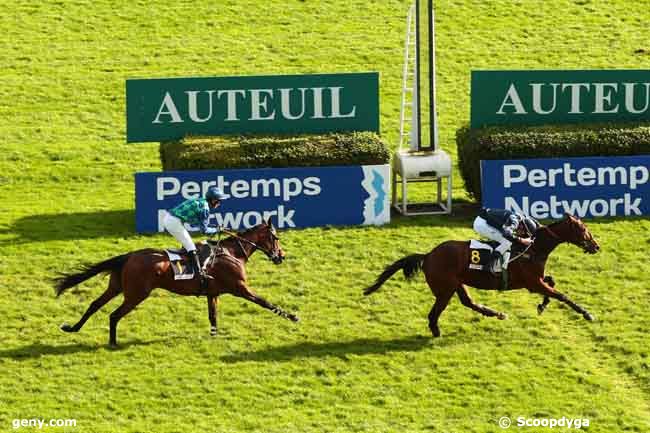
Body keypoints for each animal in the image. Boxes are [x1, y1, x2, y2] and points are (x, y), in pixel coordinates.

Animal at [55, 219, 298, 344]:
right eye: (275, 237)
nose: (281, 256)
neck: (232, 253)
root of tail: (129, 255)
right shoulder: (240, 288)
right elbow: (265, 302)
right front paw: (293, 316)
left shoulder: (213, 293)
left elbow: (213, 316)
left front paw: (214, 336)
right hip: (136, 294)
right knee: (114, 315)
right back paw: (113, 342)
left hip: (116, 287)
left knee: (94, 304)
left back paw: (72, 328)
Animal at [362, 213, 600, 338]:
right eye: (583, 230)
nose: (596, 246)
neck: (533, 248)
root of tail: (428, 255)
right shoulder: (532, 283)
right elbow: (561, 295)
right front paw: (587, 314)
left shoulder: (537, 281)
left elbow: (552, 283)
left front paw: (542, 306)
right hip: (445, 289)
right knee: (434, 313)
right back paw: (437, 333)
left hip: (456, 284)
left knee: (468, 302)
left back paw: (497, 314)